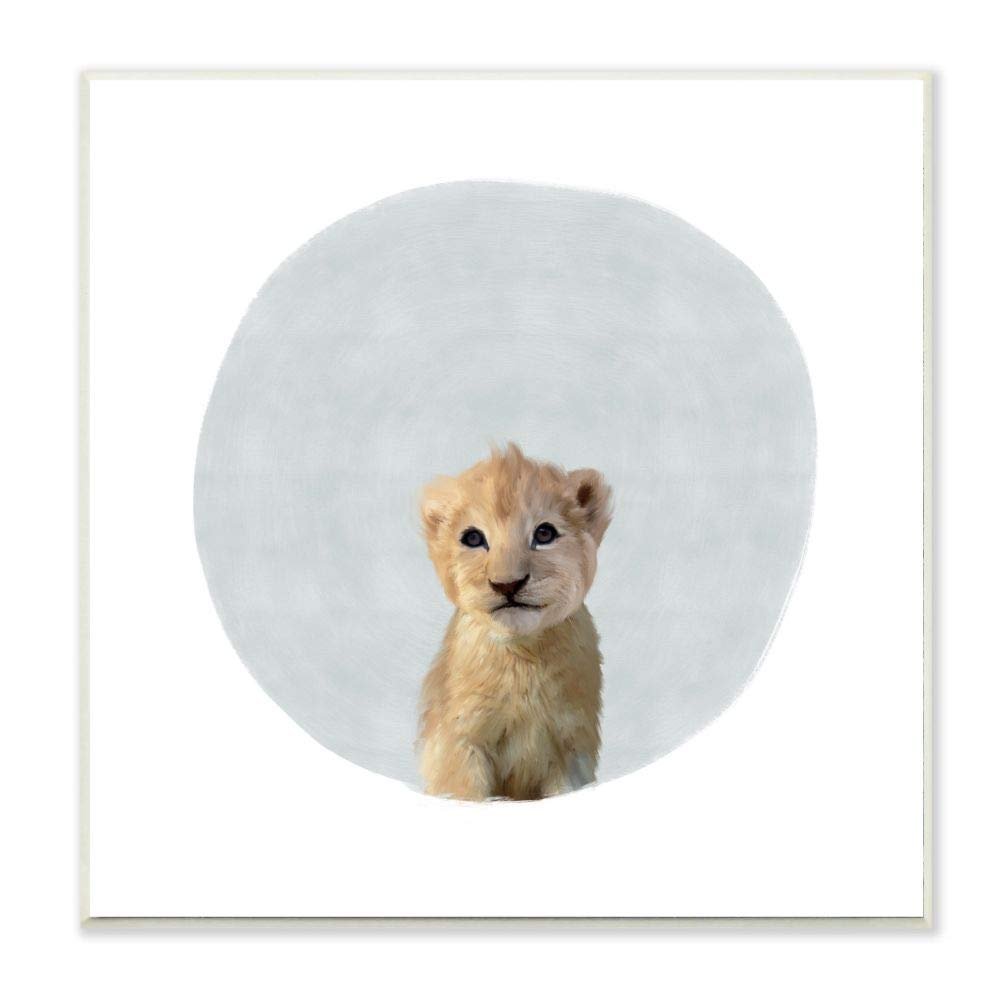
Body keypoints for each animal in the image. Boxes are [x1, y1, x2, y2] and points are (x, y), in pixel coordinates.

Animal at [417, 443, 612, 801]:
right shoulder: (459, 743)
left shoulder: (570, 747)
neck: (522, 656)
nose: (507, 584)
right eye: (472, 538)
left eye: (544, 533)